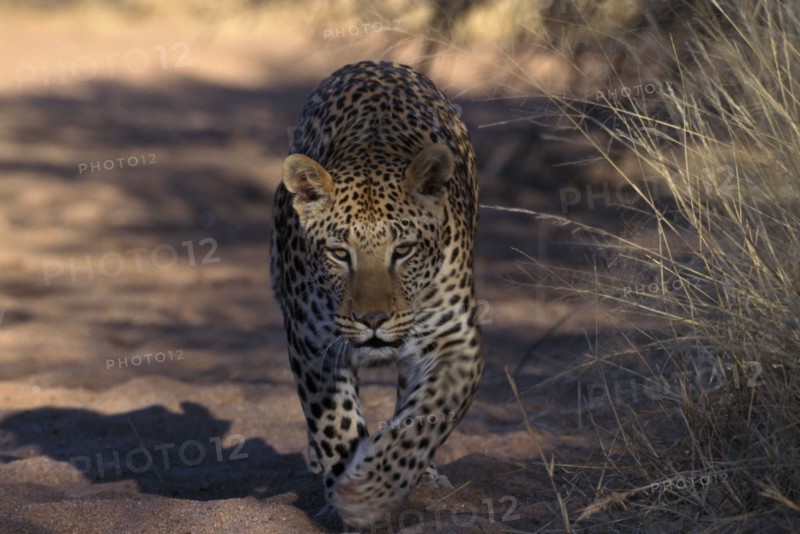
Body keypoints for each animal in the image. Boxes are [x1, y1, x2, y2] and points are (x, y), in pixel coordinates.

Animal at [270, 60, 483, 529]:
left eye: (402, 251)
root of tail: (373, 63)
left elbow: (423, 418)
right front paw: (348, 500)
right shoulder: (311, 343)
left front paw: (373, 490)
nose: (372, 321)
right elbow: (337, 427)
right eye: (338, 253)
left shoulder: (457, 341)